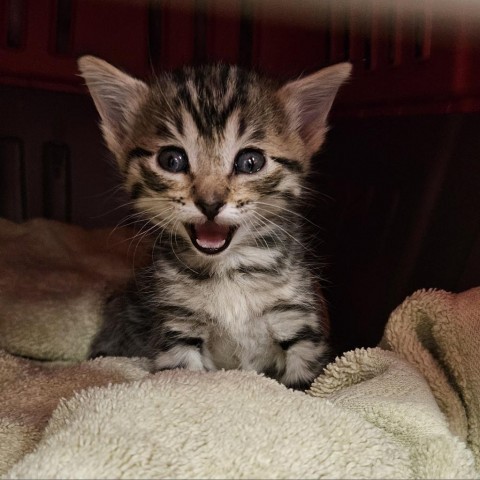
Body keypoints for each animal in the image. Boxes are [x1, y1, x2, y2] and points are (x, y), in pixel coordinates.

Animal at [78, 55, 348, 390]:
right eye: (171, 160)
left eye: (250, 162)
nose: (210, 204)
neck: (228, 270)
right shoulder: (177, 327)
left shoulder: (298, 323)